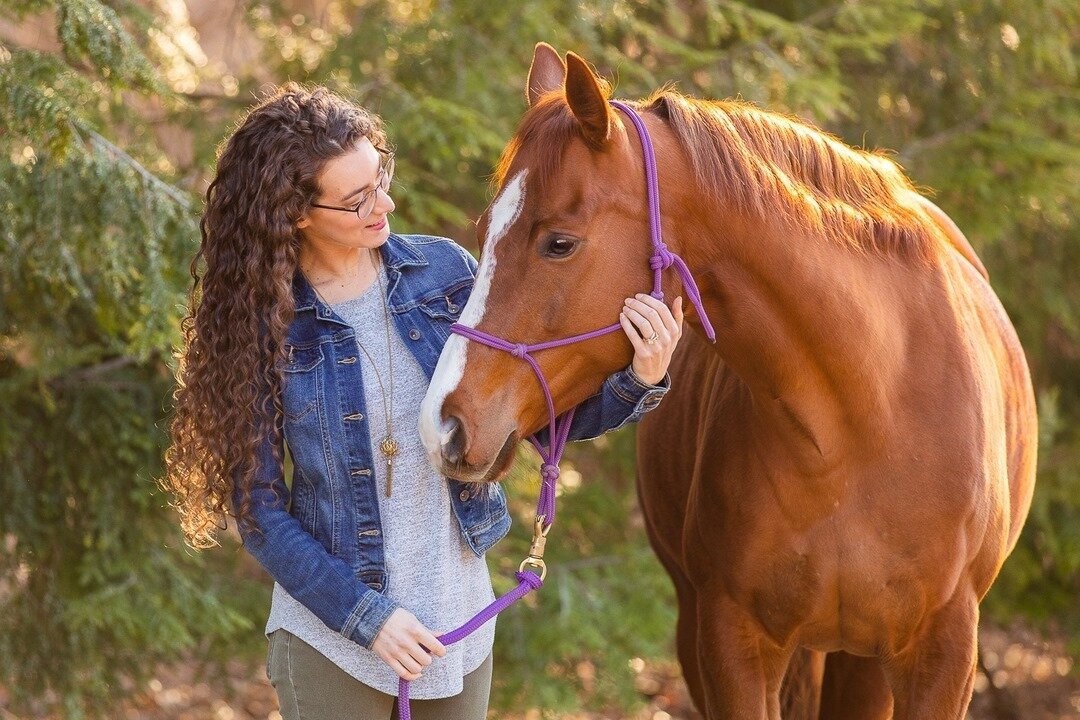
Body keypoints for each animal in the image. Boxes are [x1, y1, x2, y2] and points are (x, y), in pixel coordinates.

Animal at [414, 45, 1036, 720]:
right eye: (483, 233)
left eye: (559, 243)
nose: (443, 423)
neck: (866, 418)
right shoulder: (729, 636)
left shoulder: (943, 652)